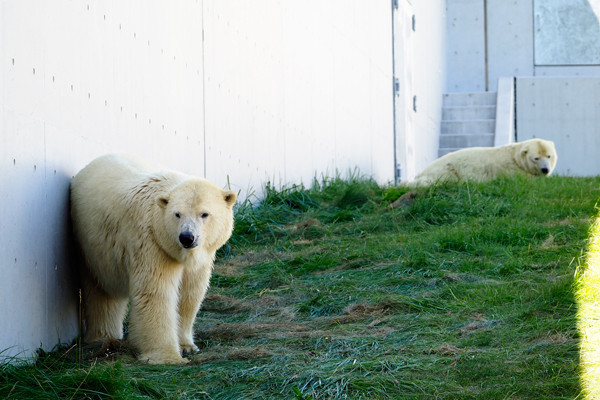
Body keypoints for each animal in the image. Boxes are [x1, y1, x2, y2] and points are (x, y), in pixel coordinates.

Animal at [71, 154, 237, 366]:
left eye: (204, 214)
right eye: (177, 214)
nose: (187, 237)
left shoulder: (200, 257)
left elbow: (189, 292)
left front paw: (187, 346)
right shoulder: (152, 243)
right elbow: (155, 293)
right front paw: (168, 357)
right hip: (91, 247)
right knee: (100, 291)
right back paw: (102, 337)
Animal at [412, 138, 556, 187]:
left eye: (549, 156)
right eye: (536, 158)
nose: (545, 170)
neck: (514, 157)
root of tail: (420, 173)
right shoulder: (510, 170)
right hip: (446, 170)